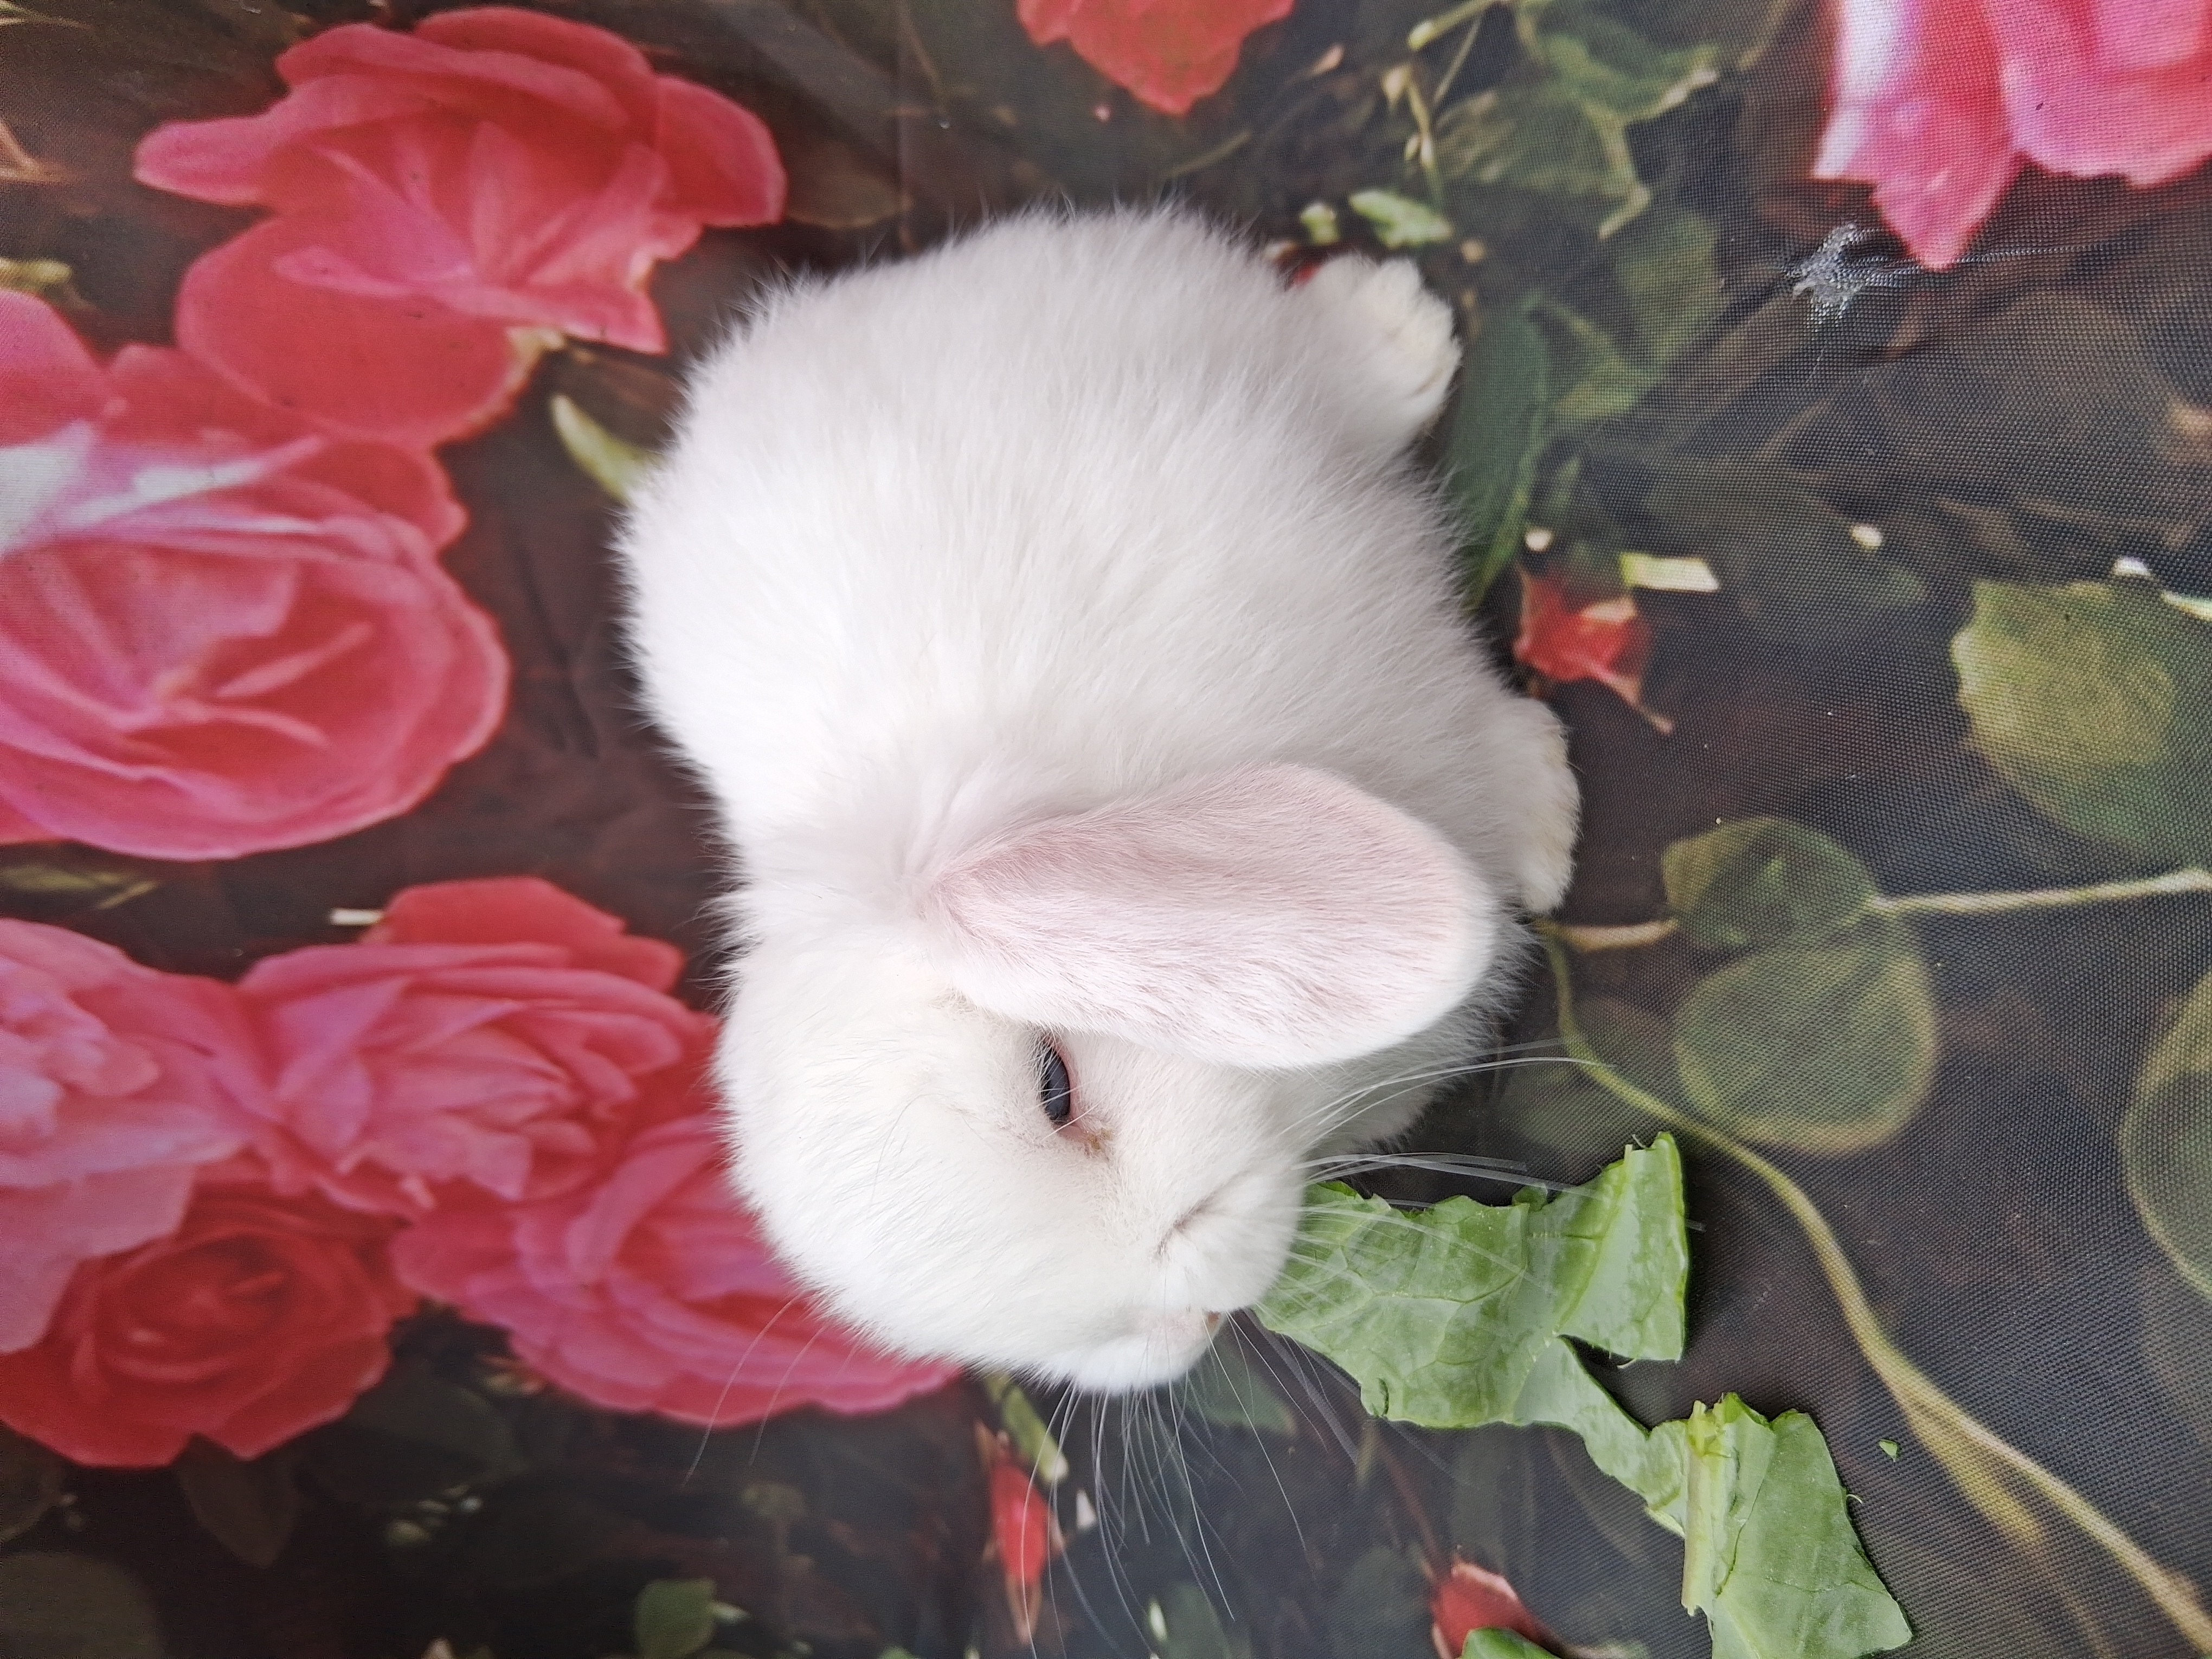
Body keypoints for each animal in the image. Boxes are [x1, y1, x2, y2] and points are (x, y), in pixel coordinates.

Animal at [614, 207, 1578, 1393]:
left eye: (1055, 1086)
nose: (1194, 1314)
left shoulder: (1398, 681)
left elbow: (1488, 752)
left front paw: (1548, 832)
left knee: (1328, 360)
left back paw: (1399, 319)